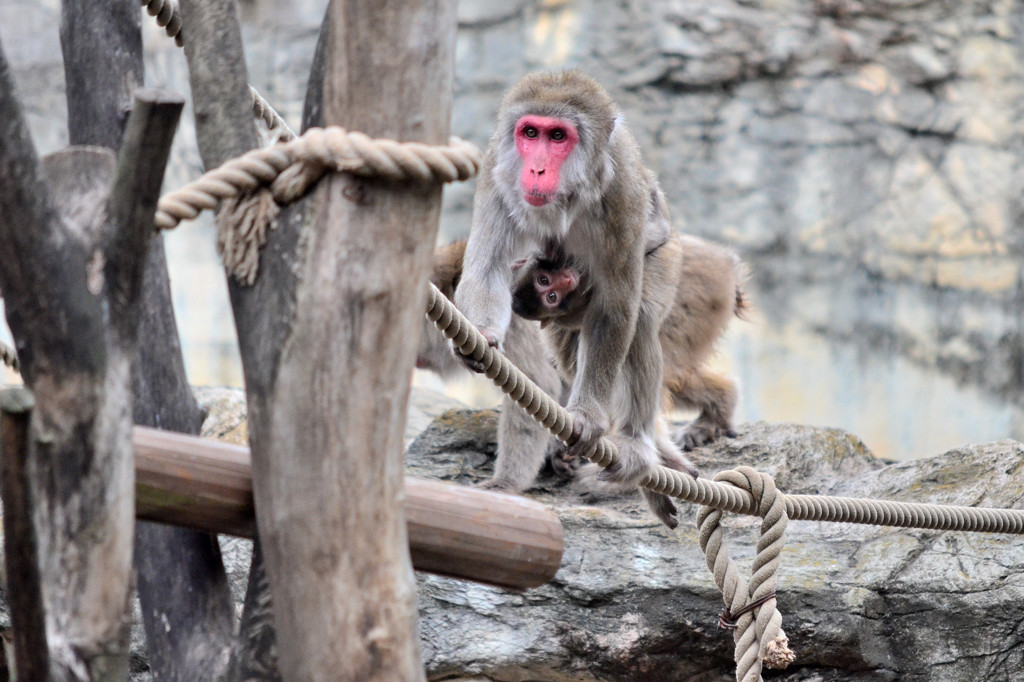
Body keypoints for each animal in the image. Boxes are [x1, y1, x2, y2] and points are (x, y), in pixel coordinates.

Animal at [456, 69, 696, 524]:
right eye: (530, 133)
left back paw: (638, 445)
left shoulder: (621, 191)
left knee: (639, 318)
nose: (535, 168)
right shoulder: (497, 170)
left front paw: (586, 417)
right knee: (568, 343)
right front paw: (481, 337)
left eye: (557, 136)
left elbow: (616, 306)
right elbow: (487, 269)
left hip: (668, 252)